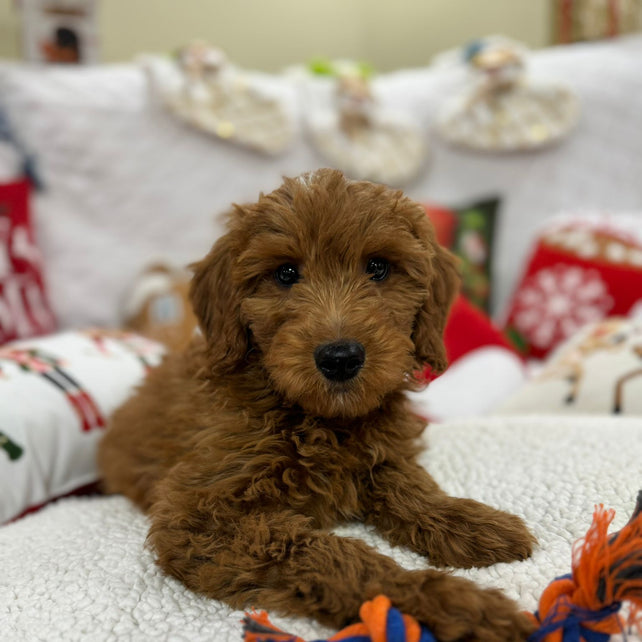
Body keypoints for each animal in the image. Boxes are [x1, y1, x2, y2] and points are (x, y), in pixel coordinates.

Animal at [99, 168, 528, 636]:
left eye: (378, 267)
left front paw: (470, 523)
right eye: (286, 273)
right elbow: (337, 559)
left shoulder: (383, 452)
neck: (319, 419)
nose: (340, 358)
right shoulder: (198, 515)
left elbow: (410, 486)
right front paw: (458, 604)